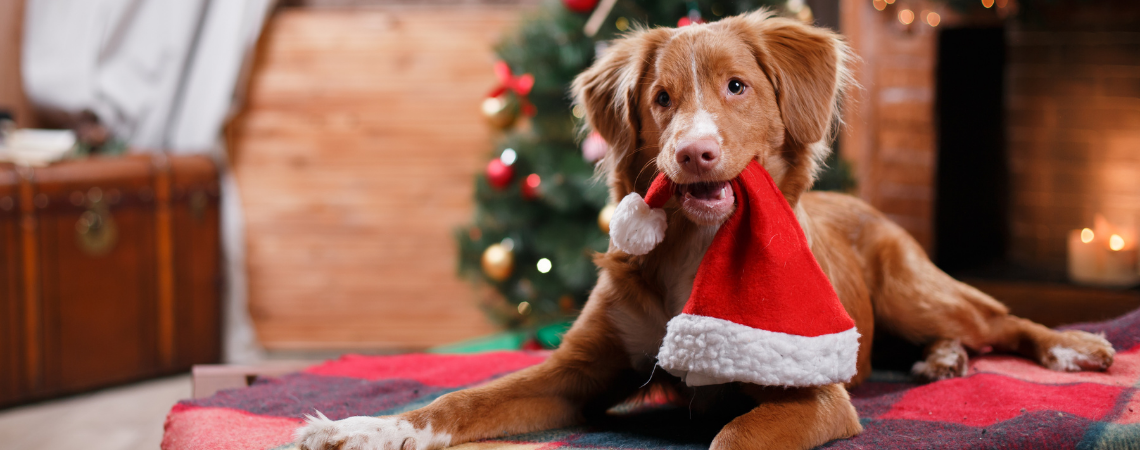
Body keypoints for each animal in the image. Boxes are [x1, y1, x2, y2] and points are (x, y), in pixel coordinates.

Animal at [294, 10, 1112, 450]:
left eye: (737, 87)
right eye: (660, 99)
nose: (693, 153)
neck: (693, 250)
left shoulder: (816, 395)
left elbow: (737, 433)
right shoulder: (577, 374)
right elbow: (461, 401)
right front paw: (365, 429)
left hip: (915, 288)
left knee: (1001, 320)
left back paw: (1068, 347)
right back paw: (942, 361)